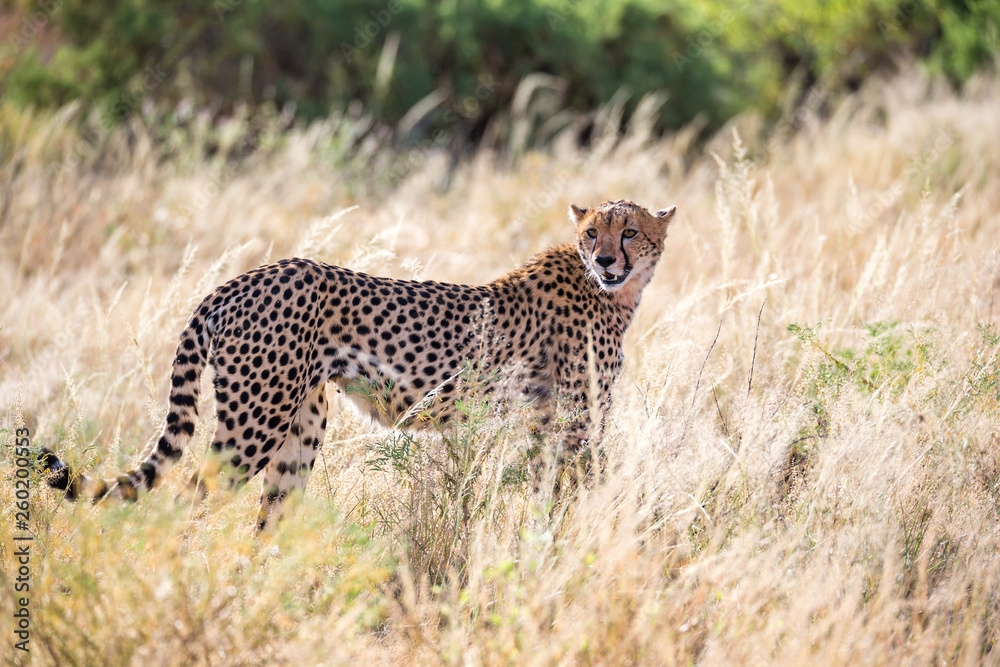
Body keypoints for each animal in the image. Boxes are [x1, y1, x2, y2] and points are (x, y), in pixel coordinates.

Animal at [38, 199, 676, 529]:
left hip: (302, 425)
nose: (605, 259)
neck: (612, 293)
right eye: (591, 231)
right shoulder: (575, 422)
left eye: (630, 230)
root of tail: (243, 277)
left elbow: (549, 493)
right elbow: (581, 489)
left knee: (269, 515)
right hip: (255, 422)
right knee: (187, 494)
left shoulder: (548, 423)